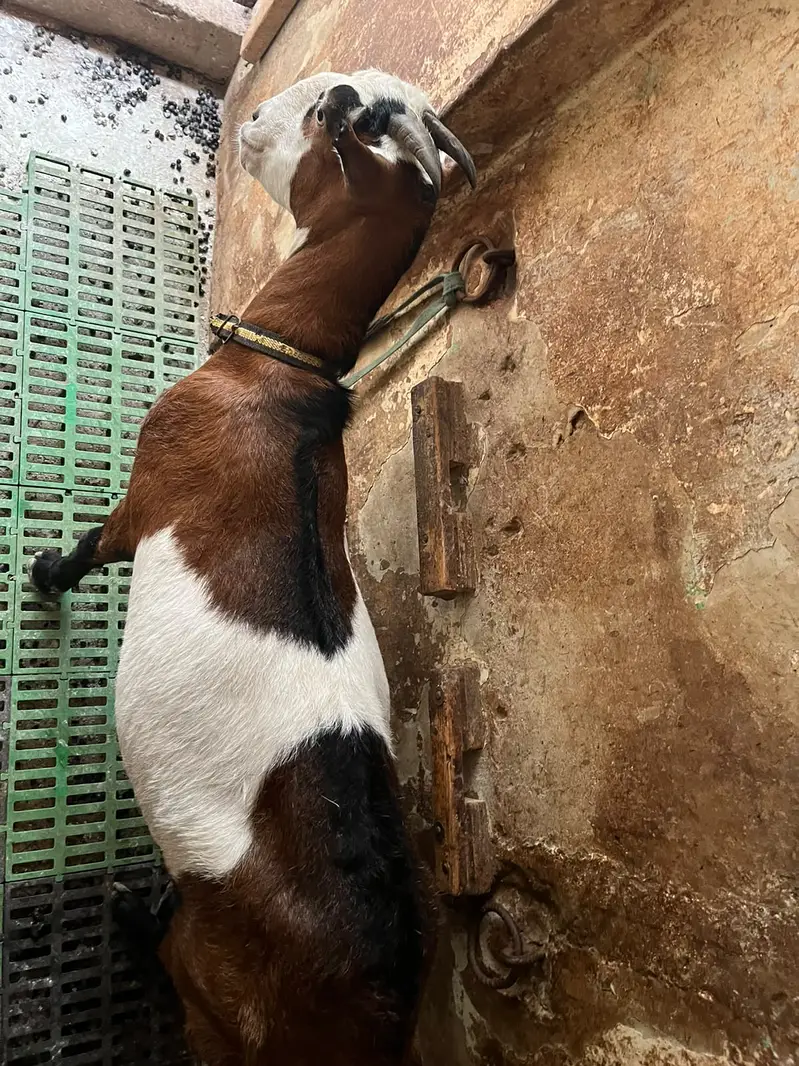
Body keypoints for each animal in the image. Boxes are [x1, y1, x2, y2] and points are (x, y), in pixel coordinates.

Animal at [29, 70, 475, 1065]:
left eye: (320, 112)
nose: (252, 118)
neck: (280, 381)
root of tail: (374, 999)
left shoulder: (147, 494)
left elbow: (93, 547)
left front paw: (41, 575)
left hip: (211, 982)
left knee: (178, 968)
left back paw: (131, 914)